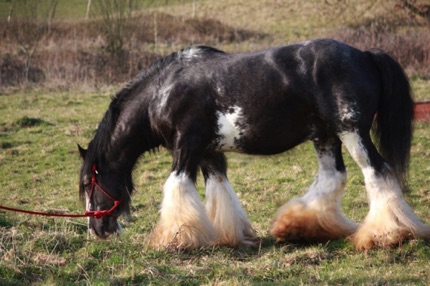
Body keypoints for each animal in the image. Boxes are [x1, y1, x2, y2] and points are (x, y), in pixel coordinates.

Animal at [78, 38, 430, 250]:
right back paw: (297, 226)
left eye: (88, 183)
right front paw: (229, 235)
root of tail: (366, 55)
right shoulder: (207, 152)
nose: (97, 230)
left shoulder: (186, 148)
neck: (164, 90)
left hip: (352, 131)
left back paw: (387, 234)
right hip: (326, 136)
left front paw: (174, 238)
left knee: (377, 171)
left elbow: (177, 187)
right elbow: (219, 189)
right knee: (334, 177)